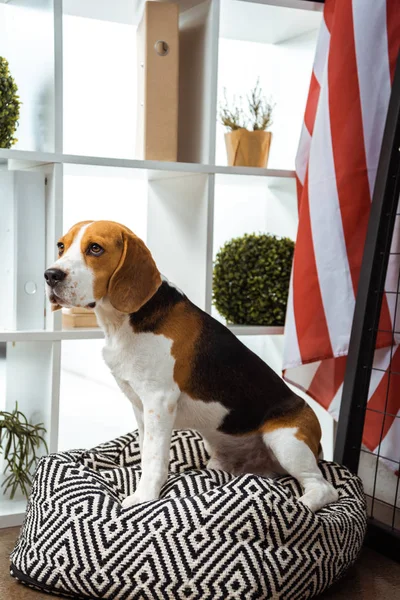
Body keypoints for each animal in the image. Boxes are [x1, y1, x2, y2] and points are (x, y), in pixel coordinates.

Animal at [45, 220, 340, 510]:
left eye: (95, 248)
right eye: (61, 246)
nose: (51, 275)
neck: (122, 322)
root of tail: (318, 443)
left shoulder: (159, 401)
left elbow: (154, 459)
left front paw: (143, 498)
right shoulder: (141, 407)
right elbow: (146, 451)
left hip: (286, 441)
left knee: (324, 489)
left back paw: (299, 508)